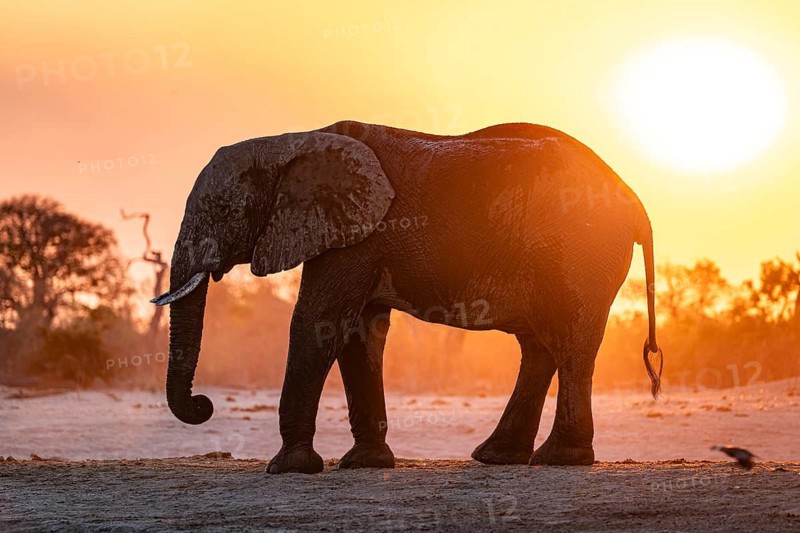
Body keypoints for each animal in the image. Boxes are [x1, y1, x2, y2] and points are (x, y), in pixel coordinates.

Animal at [152, 120, 663, 474]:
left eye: (224, 209)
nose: (204, 405)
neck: (290, 143)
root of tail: (637, 202)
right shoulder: (356, 235)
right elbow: (357, 335)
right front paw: (365, 464)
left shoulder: (356, 238)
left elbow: (318, 323)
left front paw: (287, 469)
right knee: (540, 346)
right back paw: (497, 456)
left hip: (580, 254)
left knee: (571, 341)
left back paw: (559, 458)